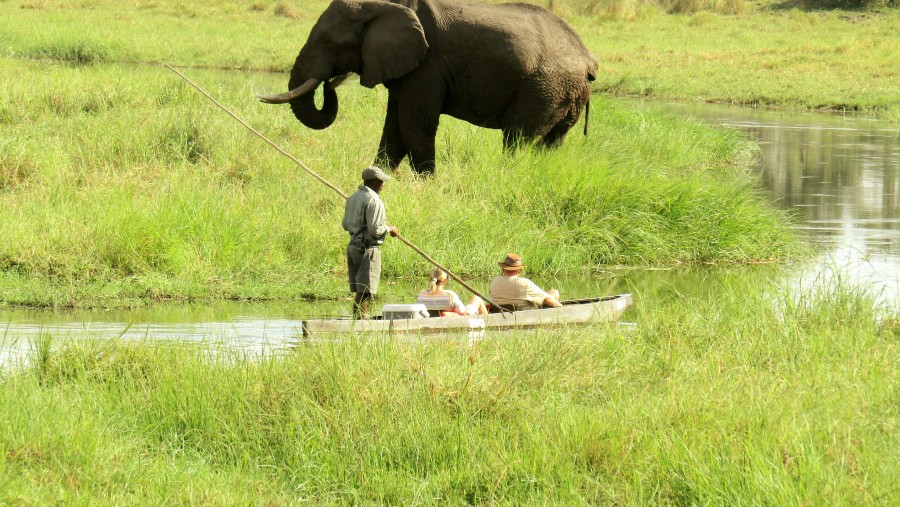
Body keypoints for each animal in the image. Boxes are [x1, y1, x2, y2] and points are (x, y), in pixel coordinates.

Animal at [260, 0, 596, 176]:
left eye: (329, 42)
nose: (331, 83)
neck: (382, 4)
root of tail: (588, 60)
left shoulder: (428, 65)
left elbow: (414, 124)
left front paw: (426, 185)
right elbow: (393, 128)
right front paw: (376, 178)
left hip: (542, 87)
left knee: (518, 139)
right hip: (563, 92)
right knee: (551, 143)